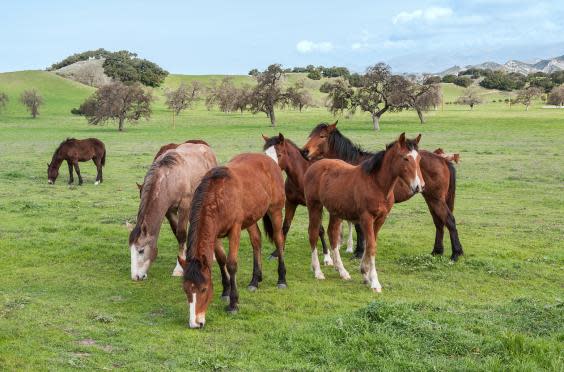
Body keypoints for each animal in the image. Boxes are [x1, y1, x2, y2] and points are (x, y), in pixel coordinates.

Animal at [129, 144, 217, 280]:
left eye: (141, 250)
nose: (136, 276)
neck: (169, 179)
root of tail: (206, 148)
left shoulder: (184, 206)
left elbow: (181, 234)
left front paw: (179, 269)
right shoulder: (169, 211)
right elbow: (177, 233)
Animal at [181, 154, 286, 328]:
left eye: (203, 289)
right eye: (186, 290)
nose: (195, 323)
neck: (217, 197)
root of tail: (269, 160)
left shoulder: (235, 229)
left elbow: (231, 264)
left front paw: (233, 303)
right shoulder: (214, 234)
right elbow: (221, 259)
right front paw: (226, 291)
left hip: (275, 210)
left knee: (279, 240)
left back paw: (282, 279)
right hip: (251, 218)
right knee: (256, 241)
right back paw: (255, 280)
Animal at [300, 122, 462, 262]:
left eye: (322, 136)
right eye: (311, 135)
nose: (304, 151)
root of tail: (443, 160)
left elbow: (359, 229)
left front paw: (359, 252)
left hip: (436, 199)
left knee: (449, 220)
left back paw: (455, 254)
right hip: (431, 199)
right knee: (439, 222)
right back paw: (437, 251)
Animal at [304, 132, 424, 292]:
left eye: (419, 158)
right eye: (405, 158)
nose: (419, 186)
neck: (377, 184)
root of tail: (314, 166)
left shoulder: (381, 219)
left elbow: (369, 244)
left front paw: (365, 274)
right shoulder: (366, 218)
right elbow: (371, 246)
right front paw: (375, 282)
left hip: (335, 211)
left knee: (333, 234)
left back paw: (342, 271)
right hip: (314, 206)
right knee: (313, 233)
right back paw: (318, 271)